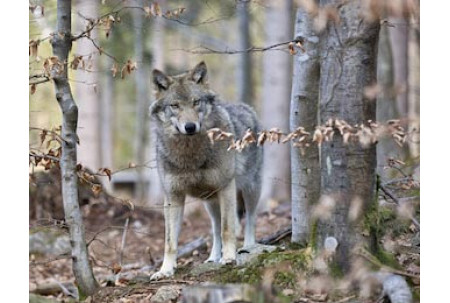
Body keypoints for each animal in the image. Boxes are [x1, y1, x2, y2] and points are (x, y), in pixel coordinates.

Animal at [148, 61, 264, 282]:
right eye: (175, 106)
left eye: (196, 102)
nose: (190, 126)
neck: (190, 153)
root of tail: (247, 107)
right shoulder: (173, 196)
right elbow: (170, 241)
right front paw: (165, 270)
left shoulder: (226, 187)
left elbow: (228, 229)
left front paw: (229, 258)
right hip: (209, 202)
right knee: (215, 229)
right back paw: (212, 258)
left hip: (250, 189)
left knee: (250, 220)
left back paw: (248, 247)